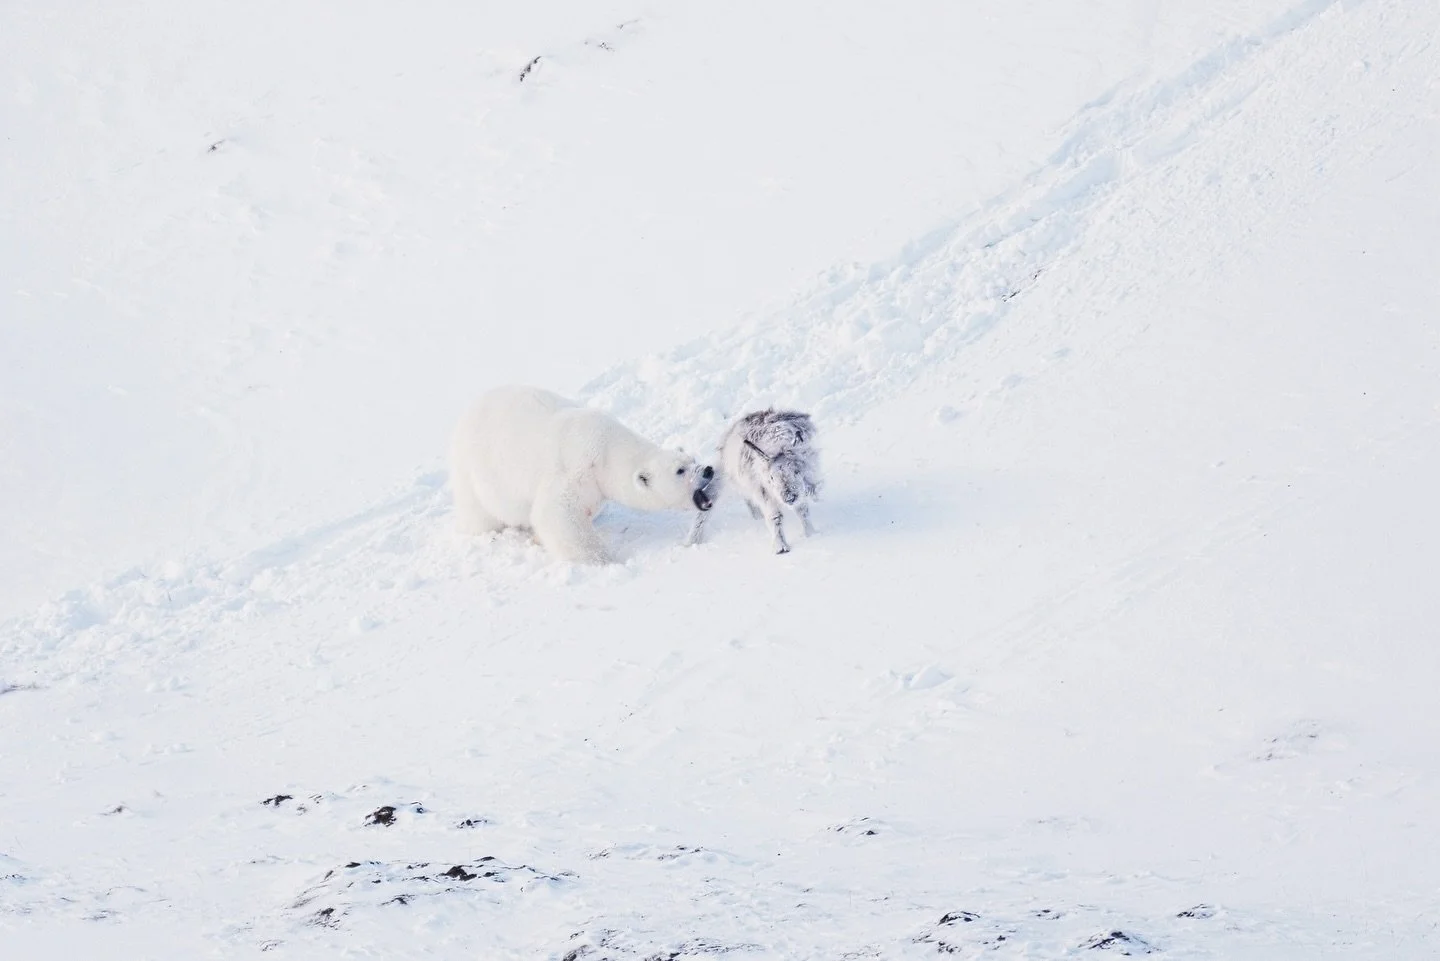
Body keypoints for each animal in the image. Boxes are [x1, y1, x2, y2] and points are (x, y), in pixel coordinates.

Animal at [449, 386, 714, 563]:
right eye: (680, 470)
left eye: (692, 460)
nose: (708, 471)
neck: (607, 450)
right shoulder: (574, 468)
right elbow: (556, 513)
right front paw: (603, 559)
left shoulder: (595, 486)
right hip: (473, 470)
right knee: (479, 512)